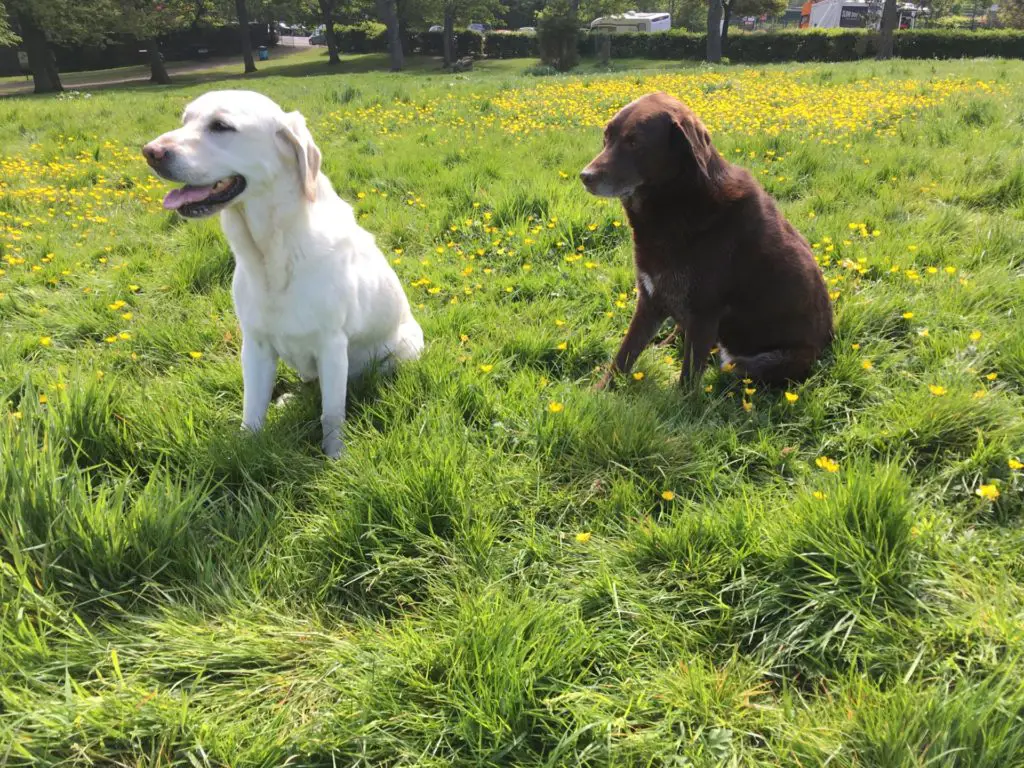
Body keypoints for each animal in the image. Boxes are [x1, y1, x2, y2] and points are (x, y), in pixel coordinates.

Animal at [142, 90, 421, 456]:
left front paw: (335, 456)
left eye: (221, 126)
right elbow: (252, 409)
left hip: (404, 347)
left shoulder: (332, 345)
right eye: (185, 120)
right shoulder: (255, 345)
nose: (150, 152)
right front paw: (246, 449)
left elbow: (331, 413)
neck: (270, 251)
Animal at [585, 93, 831, 387]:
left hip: (756, 363)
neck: (677, 204)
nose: (585, 176)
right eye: (606, 137)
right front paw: (599, 390)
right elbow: (623, 356)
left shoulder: (704, 314)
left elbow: (687, 381)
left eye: (634, 142)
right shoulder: (651, 300)